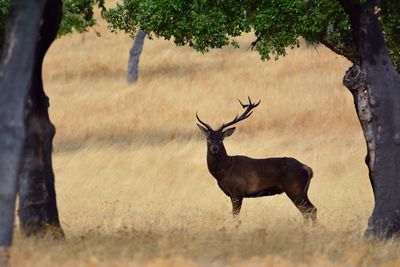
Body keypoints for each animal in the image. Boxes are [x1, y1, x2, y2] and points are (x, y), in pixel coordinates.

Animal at [195, 97, 318, 225]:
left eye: (221, 139)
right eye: (208, 138)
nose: (214, 148)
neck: (225, 170)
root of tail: (308, 169)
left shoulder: (238, 191)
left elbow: (235, 216)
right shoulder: (231, 194)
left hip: (295, 188)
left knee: (311, 209)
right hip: (301, 191)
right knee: (307, 211)